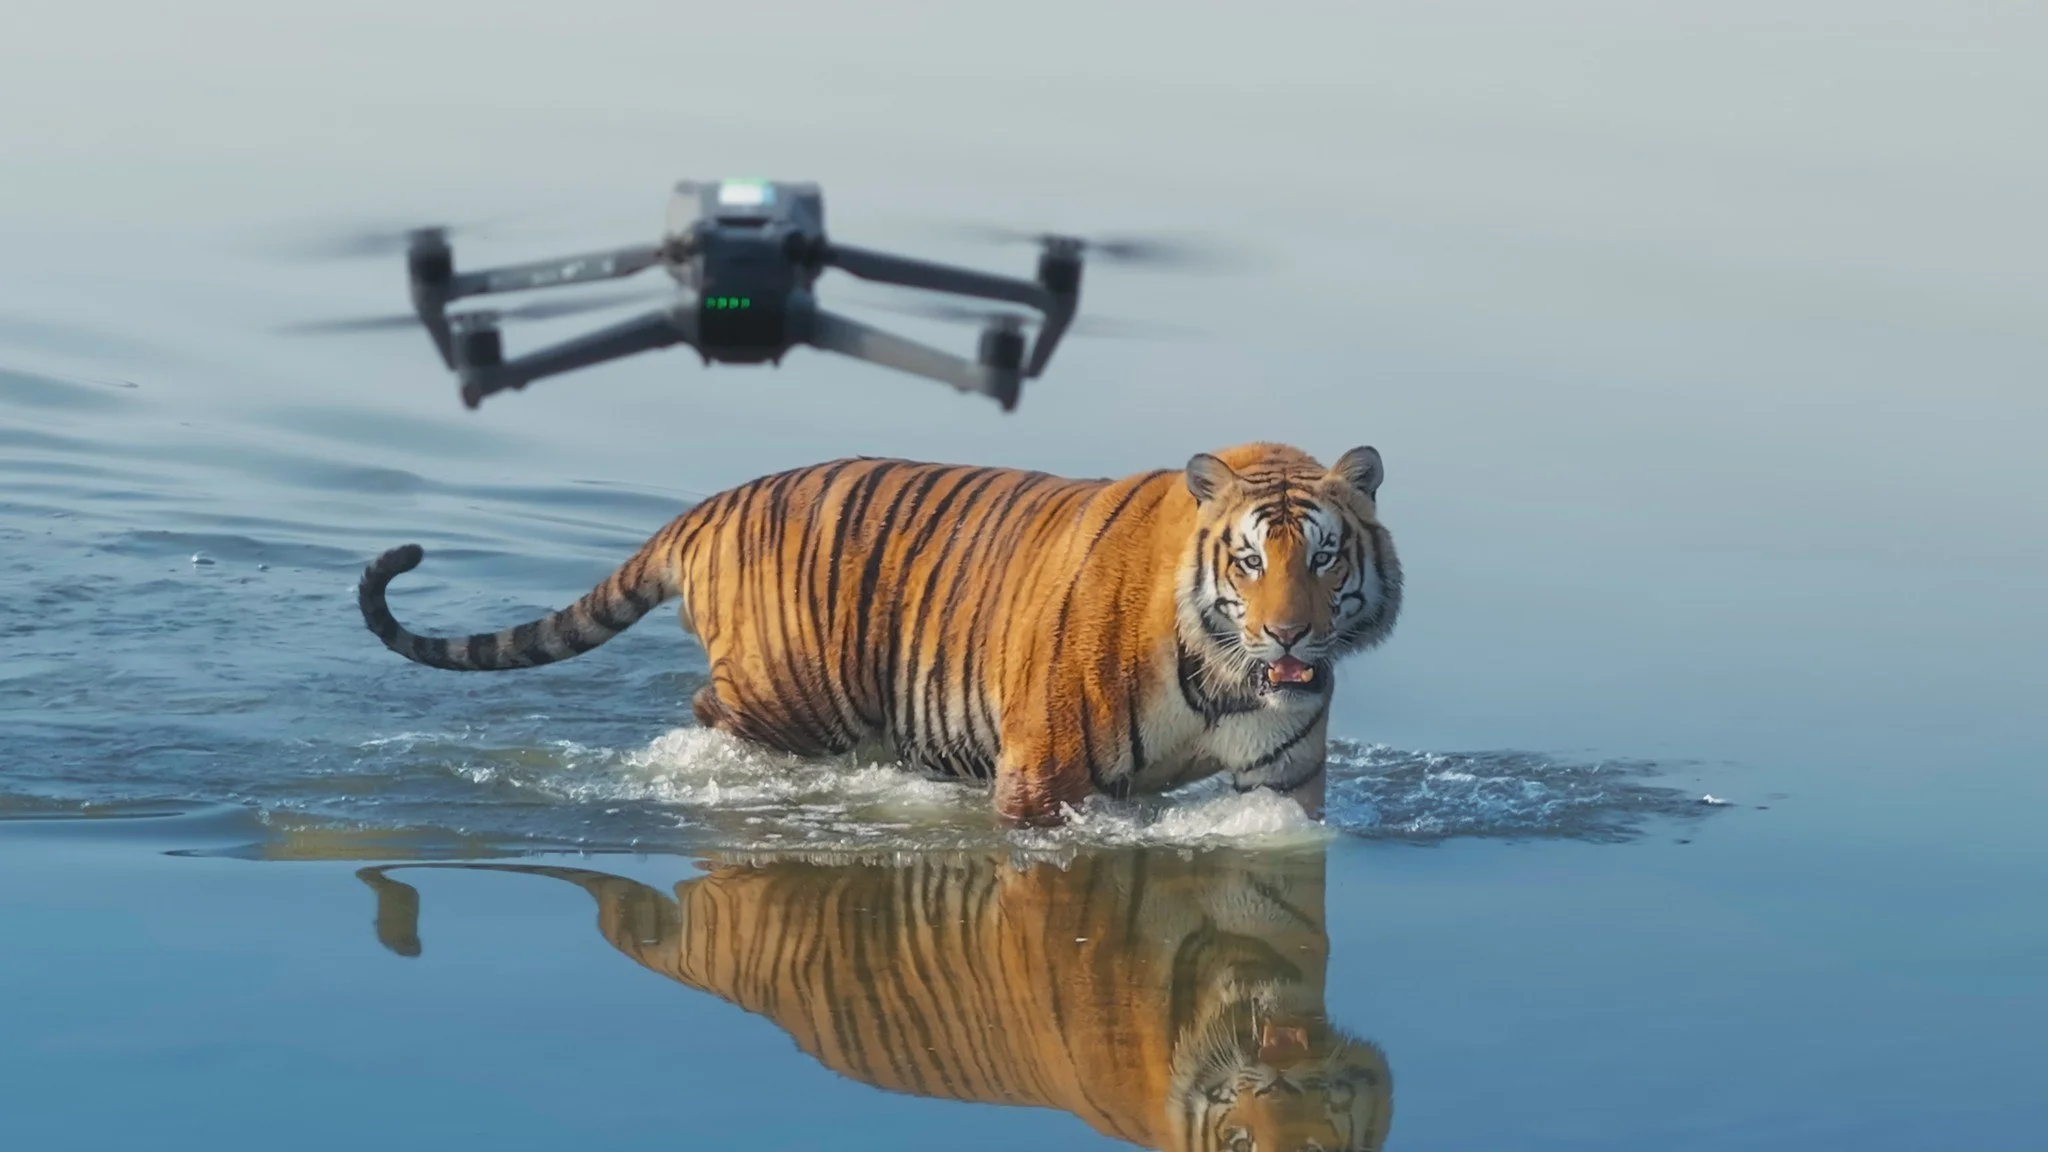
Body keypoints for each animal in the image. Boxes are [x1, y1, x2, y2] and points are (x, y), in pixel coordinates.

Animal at [357, 442, 1402, 825]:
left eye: (1324, 558)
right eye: (1249, 563)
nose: (1290, 639)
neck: (1222, 670)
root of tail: (707, 506)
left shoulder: (1285, 782)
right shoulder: (1043, 772)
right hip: (786, 696)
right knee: (706, 714)